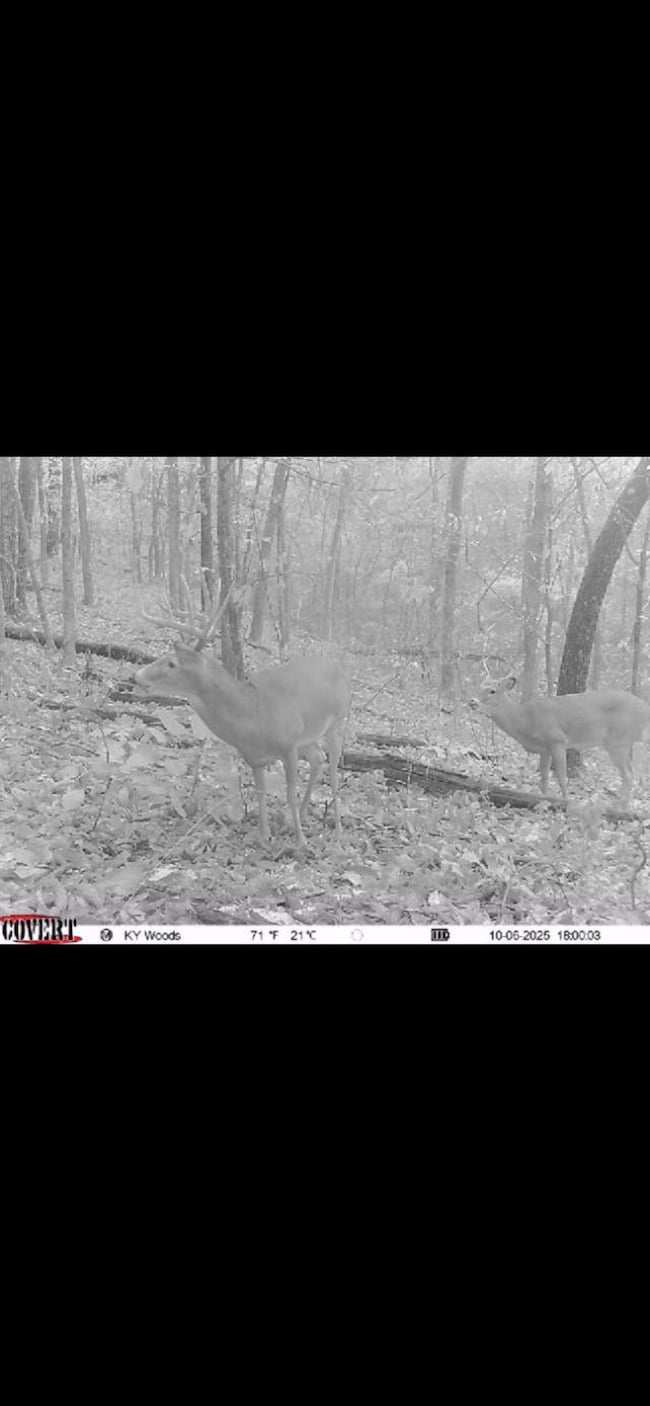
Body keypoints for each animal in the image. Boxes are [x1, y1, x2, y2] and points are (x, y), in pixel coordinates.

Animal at [135, 589, 351, 849]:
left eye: (172, 662)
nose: (137, 676)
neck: (252, 715)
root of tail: (340, 669)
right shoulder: (255, 758)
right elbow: (260, 793)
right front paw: (264, 835)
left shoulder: (289, 745)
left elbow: (289, 792)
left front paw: (301, 842)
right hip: (308, 737)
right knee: (318, 759)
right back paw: (298, 817)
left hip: (338, 720)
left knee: (333, 771)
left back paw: (337, 830)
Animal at [470, 674, 650, 808]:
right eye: (479, 687)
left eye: (492, 691)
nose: (472, 701)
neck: (525, 721)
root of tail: (645, 708)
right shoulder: (544, 749)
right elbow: (543, 780)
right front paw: (541, 801)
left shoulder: (557, 740)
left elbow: (562, 778)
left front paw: (565, 802)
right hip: (623, 742)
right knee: (630, 772)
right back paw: (622, 805)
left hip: (617, 741)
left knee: (627, 774)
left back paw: (620, 806)